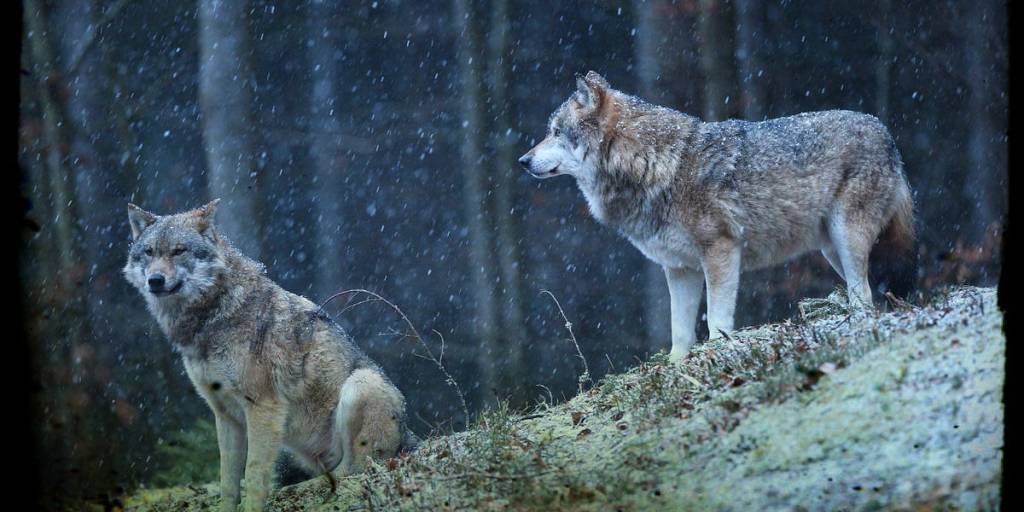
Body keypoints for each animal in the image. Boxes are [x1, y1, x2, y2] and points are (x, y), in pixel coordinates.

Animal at [123, 200, 416, 512]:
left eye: (179, 250)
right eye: (149, 252)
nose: (155, 280)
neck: (213, 315)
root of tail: (409, 438)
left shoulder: (263, 408)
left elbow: (253, 473)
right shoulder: (225, 414)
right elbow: (228, 480)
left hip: (360, 384)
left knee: (354, 470)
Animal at [519, 71, 914, 362]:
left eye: (555, 132)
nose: (523, 160)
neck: (654, 164)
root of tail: (887, 133)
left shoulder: (721, 250)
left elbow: (718, 316)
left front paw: (718, 350)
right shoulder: (680, 269)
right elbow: (679, 330)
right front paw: (677, 366)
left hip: (846, 239)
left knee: (864, 295)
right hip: (832, 250)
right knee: (867, 295)